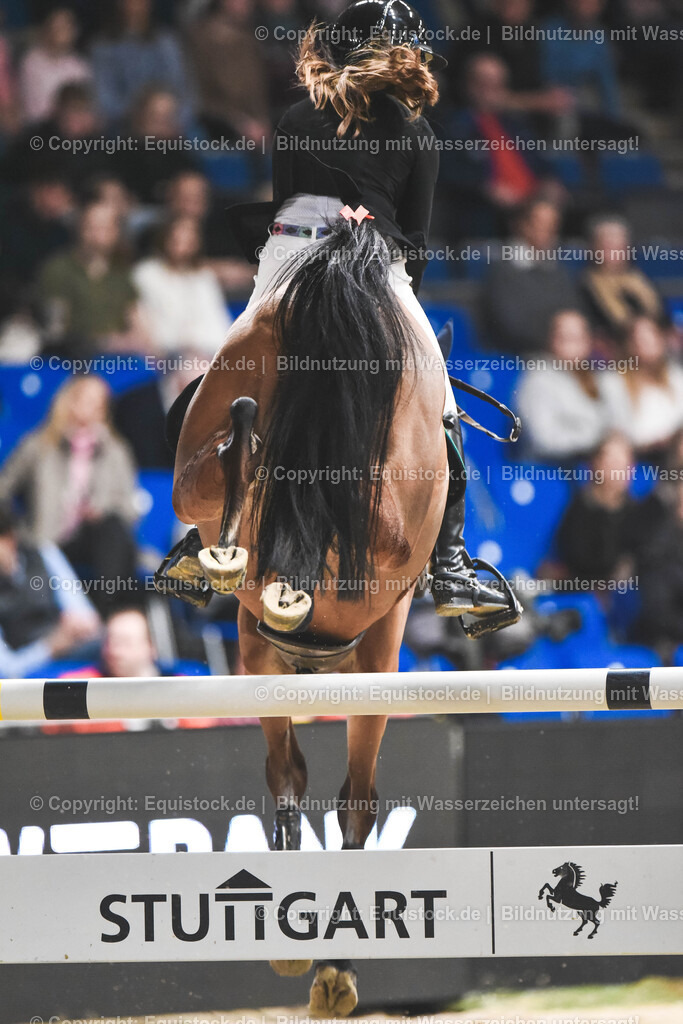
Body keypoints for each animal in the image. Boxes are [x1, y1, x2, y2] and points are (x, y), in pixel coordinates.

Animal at [168, 219, 450, 1015]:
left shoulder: (257, 651)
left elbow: (294, 775)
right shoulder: (374, 649)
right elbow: (350, 799)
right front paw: (331, 965)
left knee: (234, 455)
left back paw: (239, 507)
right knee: (363, 514)